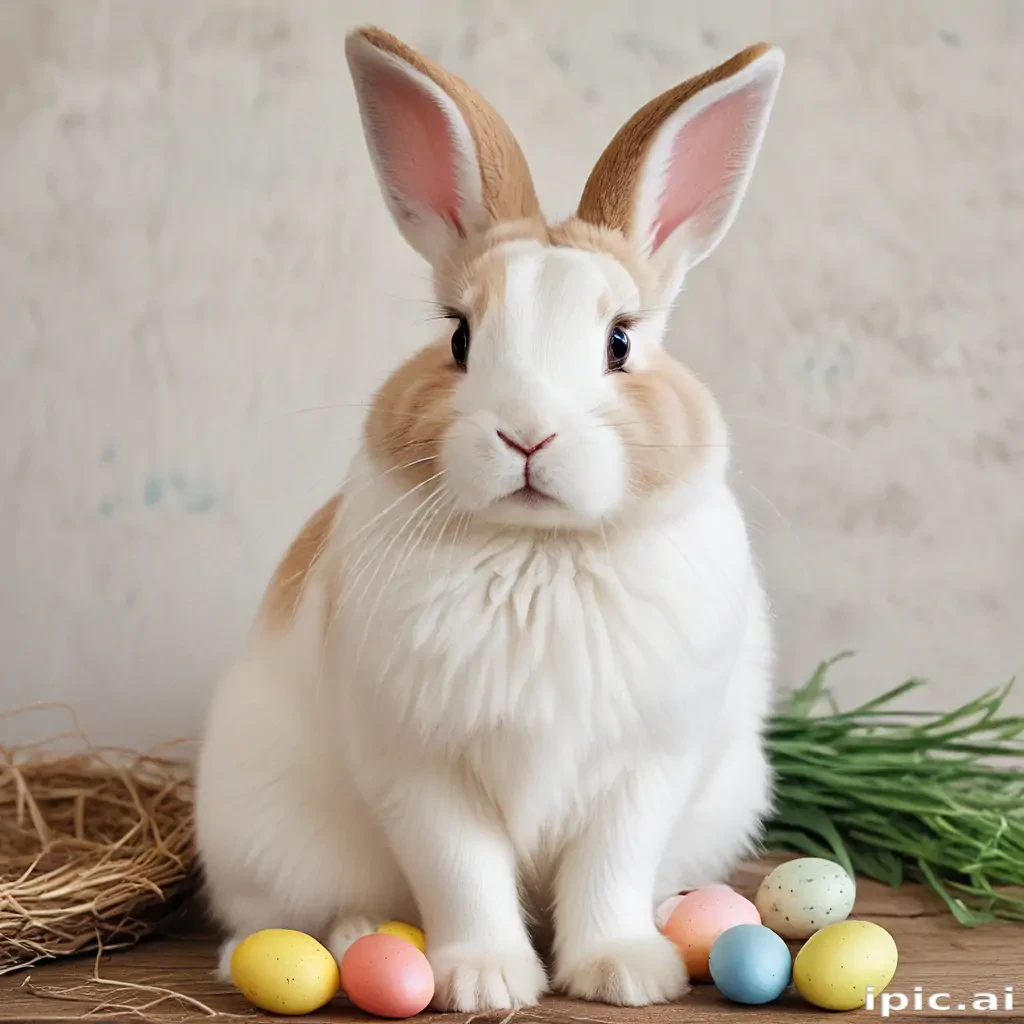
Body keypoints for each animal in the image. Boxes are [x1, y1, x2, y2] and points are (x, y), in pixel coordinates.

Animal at [195, 25, 784, 1012]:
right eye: (459, 337)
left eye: (621, 341)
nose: (526, 434)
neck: (538, 549)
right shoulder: (422, 771)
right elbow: (460, 873)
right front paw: (483, 981)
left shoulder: (647, 768)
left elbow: (610, 869)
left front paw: (624, 972)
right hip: (268, 836)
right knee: (277, 916)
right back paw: (352, 935)